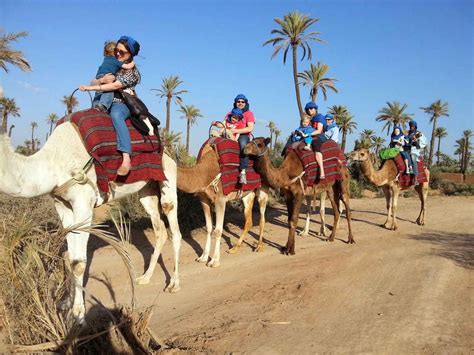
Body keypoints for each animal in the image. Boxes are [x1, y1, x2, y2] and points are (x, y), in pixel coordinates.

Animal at [0, 123, 181, 322]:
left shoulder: (83, 202)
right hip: (146, 190)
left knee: (174, 228)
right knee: (160, 230)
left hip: (168, 180)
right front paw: (66, 303)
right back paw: (145, 277)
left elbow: (78, 263)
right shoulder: (62, 204)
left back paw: (174, 284)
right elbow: (71, 258)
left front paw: (78, 314)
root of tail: (169, 155)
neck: (52, 163)